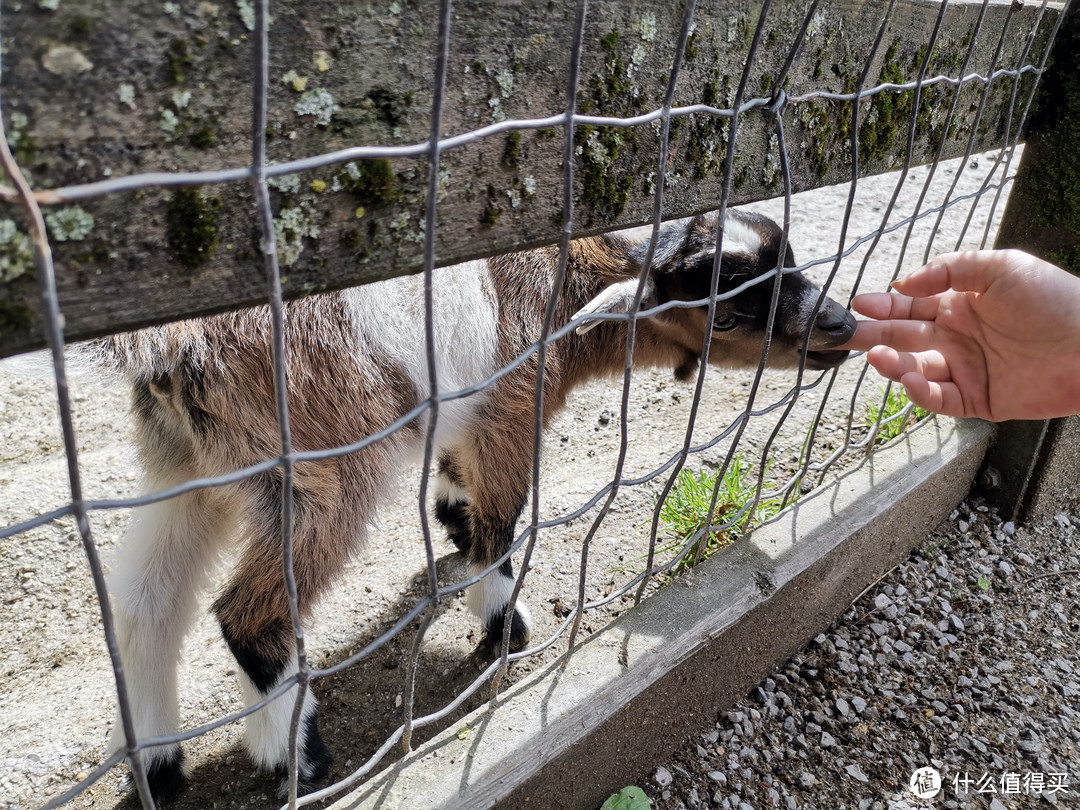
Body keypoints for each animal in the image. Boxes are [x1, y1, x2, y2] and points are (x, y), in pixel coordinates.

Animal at [95, 209, 851, 807]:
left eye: (790, 260)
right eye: (727, 309)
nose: (841, 325)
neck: (564, 286)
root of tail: (168, 352)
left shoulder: (467, 422)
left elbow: (460, 489)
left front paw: (453, 525)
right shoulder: (512, 408)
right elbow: (502, 526)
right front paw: (502, 629)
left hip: (187, 468)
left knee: (144, 605)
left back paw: (158, 767)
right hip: (320, 472)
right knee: (247, 616)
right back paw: (298, 759)